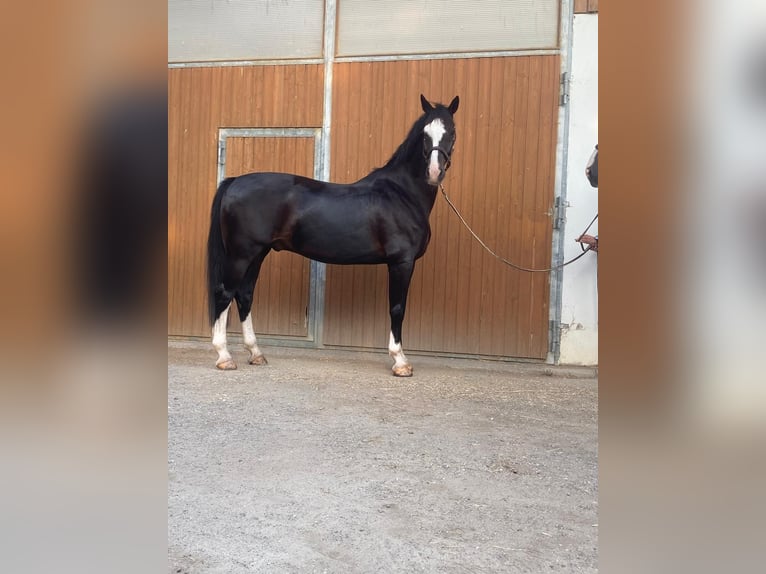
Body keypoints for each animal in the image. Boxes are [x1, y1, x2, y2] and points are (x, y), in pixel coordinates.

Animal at [207, 93, 460, 378]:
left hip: (258, 253)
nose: (434, 173)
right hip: (241, 254)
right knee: (225, 293)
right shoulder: (401, 262)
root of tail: (235, 181)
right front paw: (400, 362)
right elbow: (397, 308)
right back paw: (224, 356)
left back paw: (256, 353)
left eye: (452, 132)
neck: (402, 193)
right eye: (425, 134)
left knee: (245, 295)